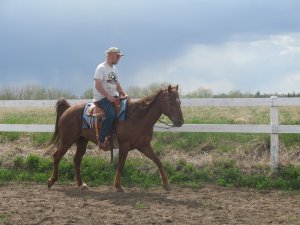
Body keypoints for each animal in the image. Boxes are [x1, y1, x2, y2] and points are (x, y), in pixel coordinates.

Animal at [48, 84, 184, 192]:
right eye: (171, 102)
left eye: (180, 102)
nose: (180, 122)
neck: (138, 117)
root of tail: (68, 109)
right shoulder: (124, 145)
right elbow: (120, 165)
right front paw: (118, 186)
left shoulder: (144, 145)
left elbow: (158, 161)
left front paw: (166, 184)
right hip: (67, 140)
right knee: (57, 156)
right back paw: (51, 180)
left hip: (82, 141)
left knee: (77, 160)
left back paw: (81, 184)